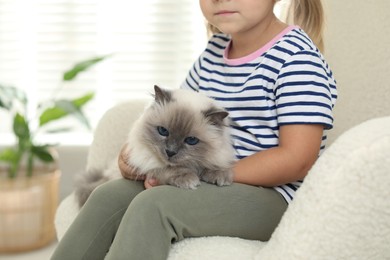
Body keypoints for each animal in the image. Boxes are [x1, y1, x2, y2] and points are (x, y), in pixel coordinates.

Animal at [75, 85, 236, 207]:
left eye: (191, 140)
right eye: (163, 131)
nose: (170, 152)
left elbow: (214, 165)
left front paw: (219, 176)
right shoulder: (148, 163)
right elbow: (171, 169)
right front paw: (189, 179)